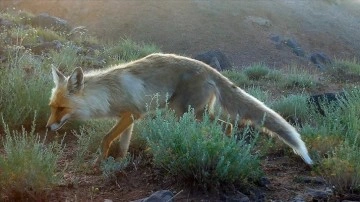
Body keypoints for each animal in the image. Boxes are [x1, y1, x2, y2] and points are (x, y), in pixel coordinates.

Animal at [47, 52, 312, 165]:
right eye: (52, 107)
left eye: (61, 108)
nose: (48, 128)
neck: (106, 93)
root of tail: (209, 69)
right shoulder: (130, 118)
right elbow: (122, 144)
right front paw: (119, 162)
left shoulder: (132, 113)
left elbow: (105, 139)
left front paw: (100, 161)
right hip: (193, 113)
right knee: (226, 125)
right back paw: (221, 146)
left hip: (187, 112)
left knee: (226, 125)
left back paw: (221, 147)